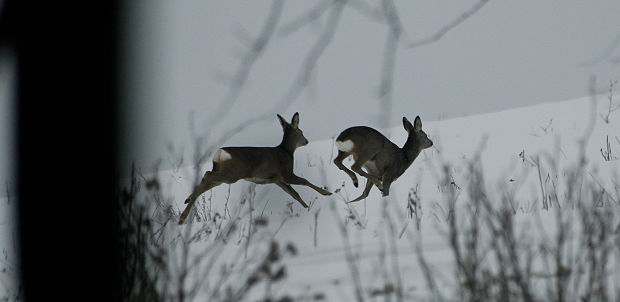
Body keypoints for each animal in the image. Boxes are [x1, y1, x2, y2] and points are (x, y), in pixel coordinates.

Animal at [179, 112, 332, 223]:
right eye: (301, 131)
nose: (306, 141)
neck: (286, 151)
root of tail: (219, 153)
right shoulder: (286, 173)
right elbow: (305, 182)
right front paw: (326, 193)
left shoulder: (276, 179)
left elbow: (294, 194)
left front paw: (307, 208)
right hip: (232, 174)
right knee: (207, 174)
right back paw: (184, 213)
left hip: (224, 175)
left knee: (206, 181)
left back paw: (185, 208)